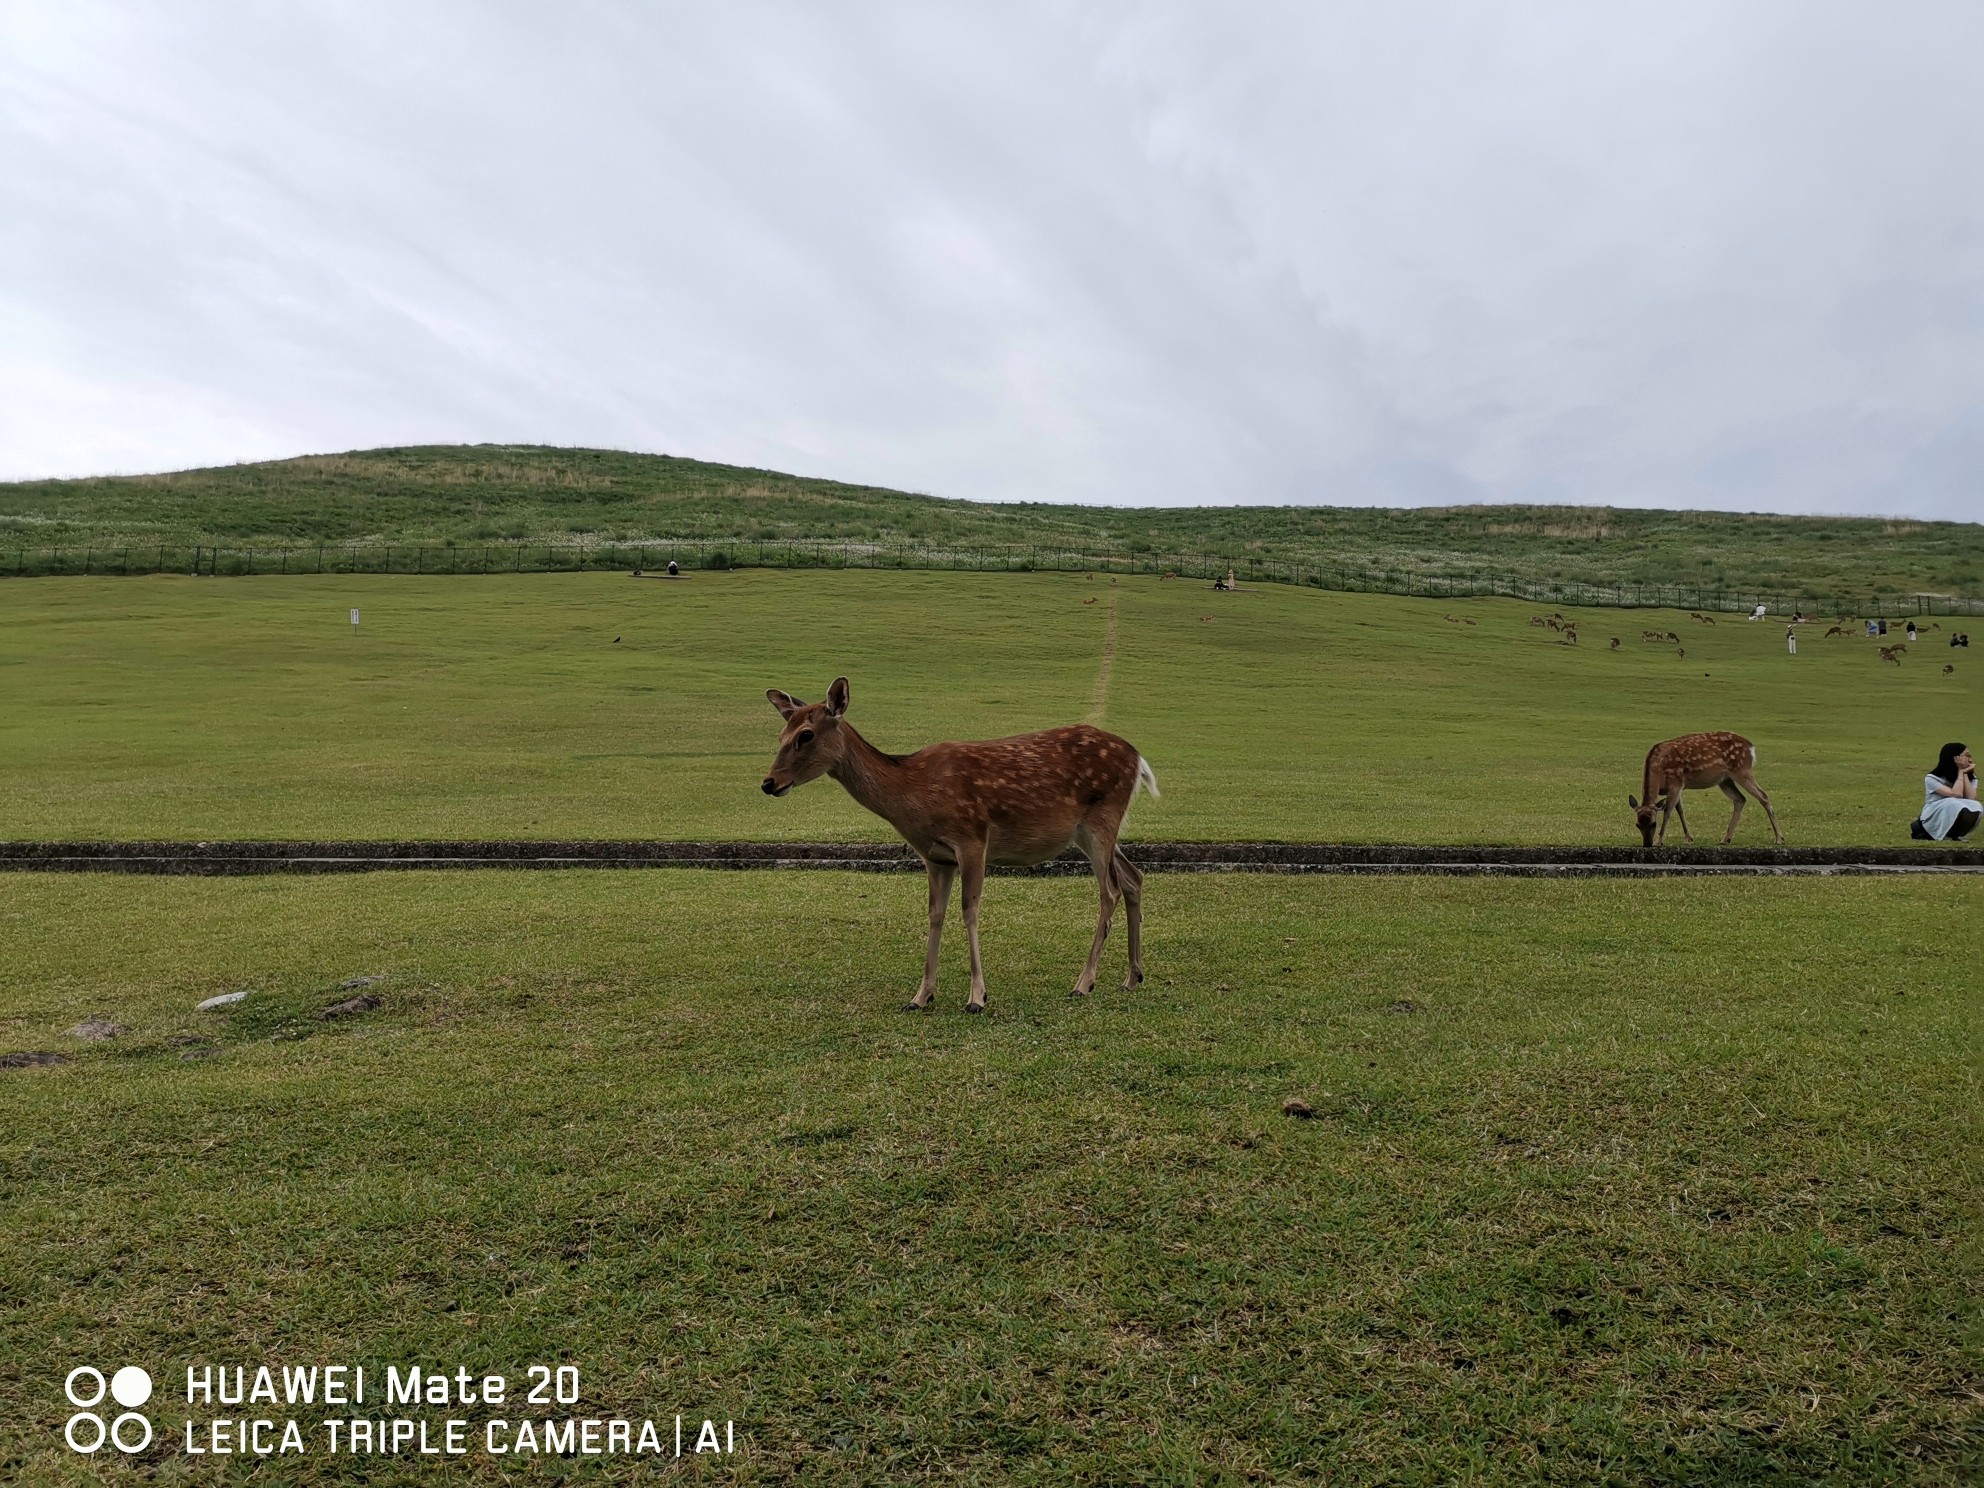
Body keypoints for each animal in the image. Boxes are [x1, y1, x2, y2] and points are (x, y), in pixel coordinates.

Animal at [757, 686, 1158, 1015]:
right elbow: (935, 915)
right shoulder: (935, 856)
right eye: (780, 734)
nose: (768, 782)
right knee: (1134, 877)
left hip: (1102, 817)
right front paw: (921, 996)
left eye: (806, 735)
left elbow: (970, 911)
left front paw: (977, 997)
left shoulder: (972, 839)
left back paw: (1084, 983)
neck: (913, 793)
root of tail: (1139, 758)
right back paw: (1132, 977)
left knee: (1110, 890)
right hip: (1090, 832)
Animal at [1626, 738, 1785, 849]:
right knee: (1740, 799)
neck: (1658, 773)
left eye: (1654, 823)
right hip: (1725, 780)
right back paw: (1725, 839)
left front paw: (1659, 841)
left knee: (1763, 796)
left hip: (1742, 770)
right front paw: (1688, 838)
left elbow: (1668, 811)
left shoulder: (1676, 783)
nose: (1647, 844)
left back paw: (1778, 838)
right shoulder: (1678, 787)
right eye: (1637, 824)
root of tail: (1751, 747)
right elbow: (1680, 809)